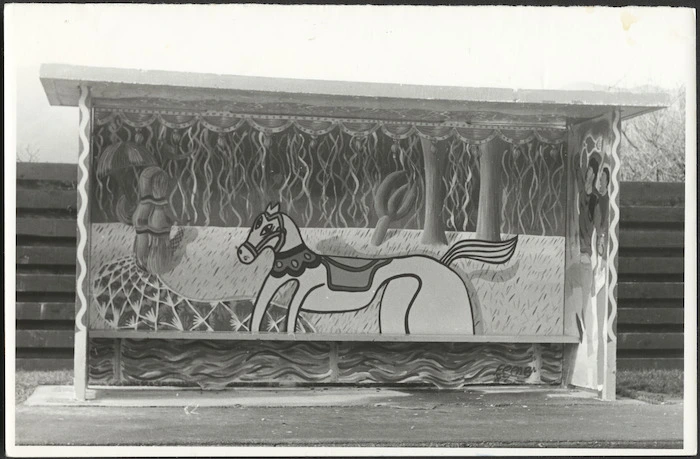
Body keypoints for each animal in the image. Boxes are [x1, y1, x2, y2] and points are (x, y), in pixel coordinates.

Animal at [238, 203, 516, 336]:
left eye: (267, 228)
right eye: (255, 223)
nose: (243, 253)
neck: (295, 263)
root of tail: (445, 263)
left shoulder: (303, 290)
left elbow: (289, 319)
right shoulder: (272, 285)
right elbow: (258, 314)